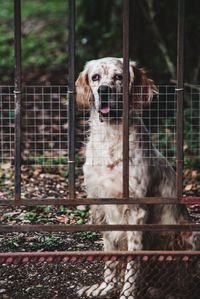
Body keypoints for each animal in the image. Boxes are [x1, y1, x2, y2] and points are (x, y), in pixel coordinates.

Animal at [75, 57, 197, 298]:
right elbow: (111, 257)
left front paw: (127, 294)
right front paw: (106, 287)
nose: (104, 90)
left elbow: (132, 261)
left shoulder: (136, 210)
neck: (111, 137)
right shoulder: (101, 206)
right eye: (95, 77)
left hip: (188, 236)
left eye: (119, 77)